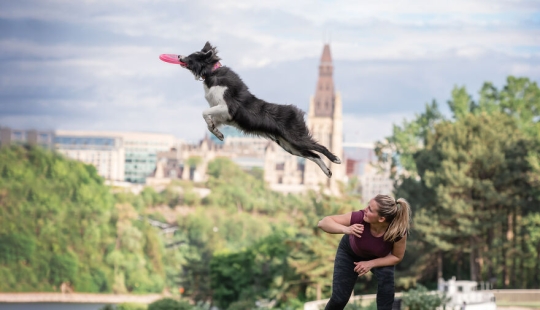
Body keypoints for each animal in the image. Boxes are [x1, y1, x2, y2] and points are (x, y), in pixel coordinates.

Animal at [177, 41, 342, 177]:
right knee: (314, 155)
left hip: (296, 138)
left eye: (192, 57)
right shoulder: (221, 115)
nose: (178, 56)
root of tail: (296, 111)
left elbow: (204, 112)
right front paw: (218, 133)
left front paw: (216, 132)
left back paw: (336, 159)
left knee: (320, 147)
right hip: (289, 146)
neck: (212, 72)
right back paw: (327, 171)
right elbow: (209, 123)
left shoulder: (227, 107)